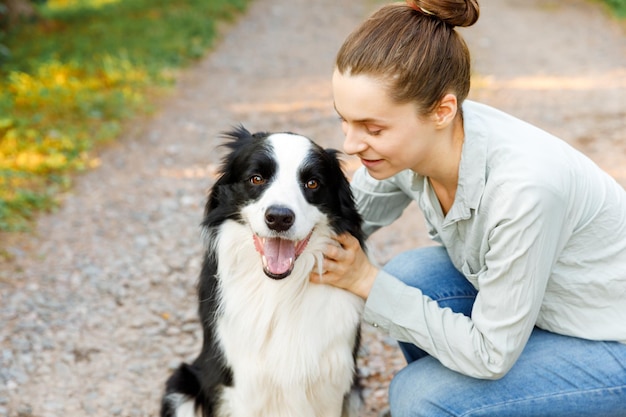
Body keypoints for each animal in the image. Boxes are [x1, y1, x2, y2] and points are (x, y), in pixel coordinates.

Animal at [160, 127, 366, 416]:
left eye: (312, 183)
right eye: (256, 178)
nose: (279, 218)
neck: (280, 289)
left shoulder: (332, 384)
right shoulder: (244, 385)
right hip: (181, 386)